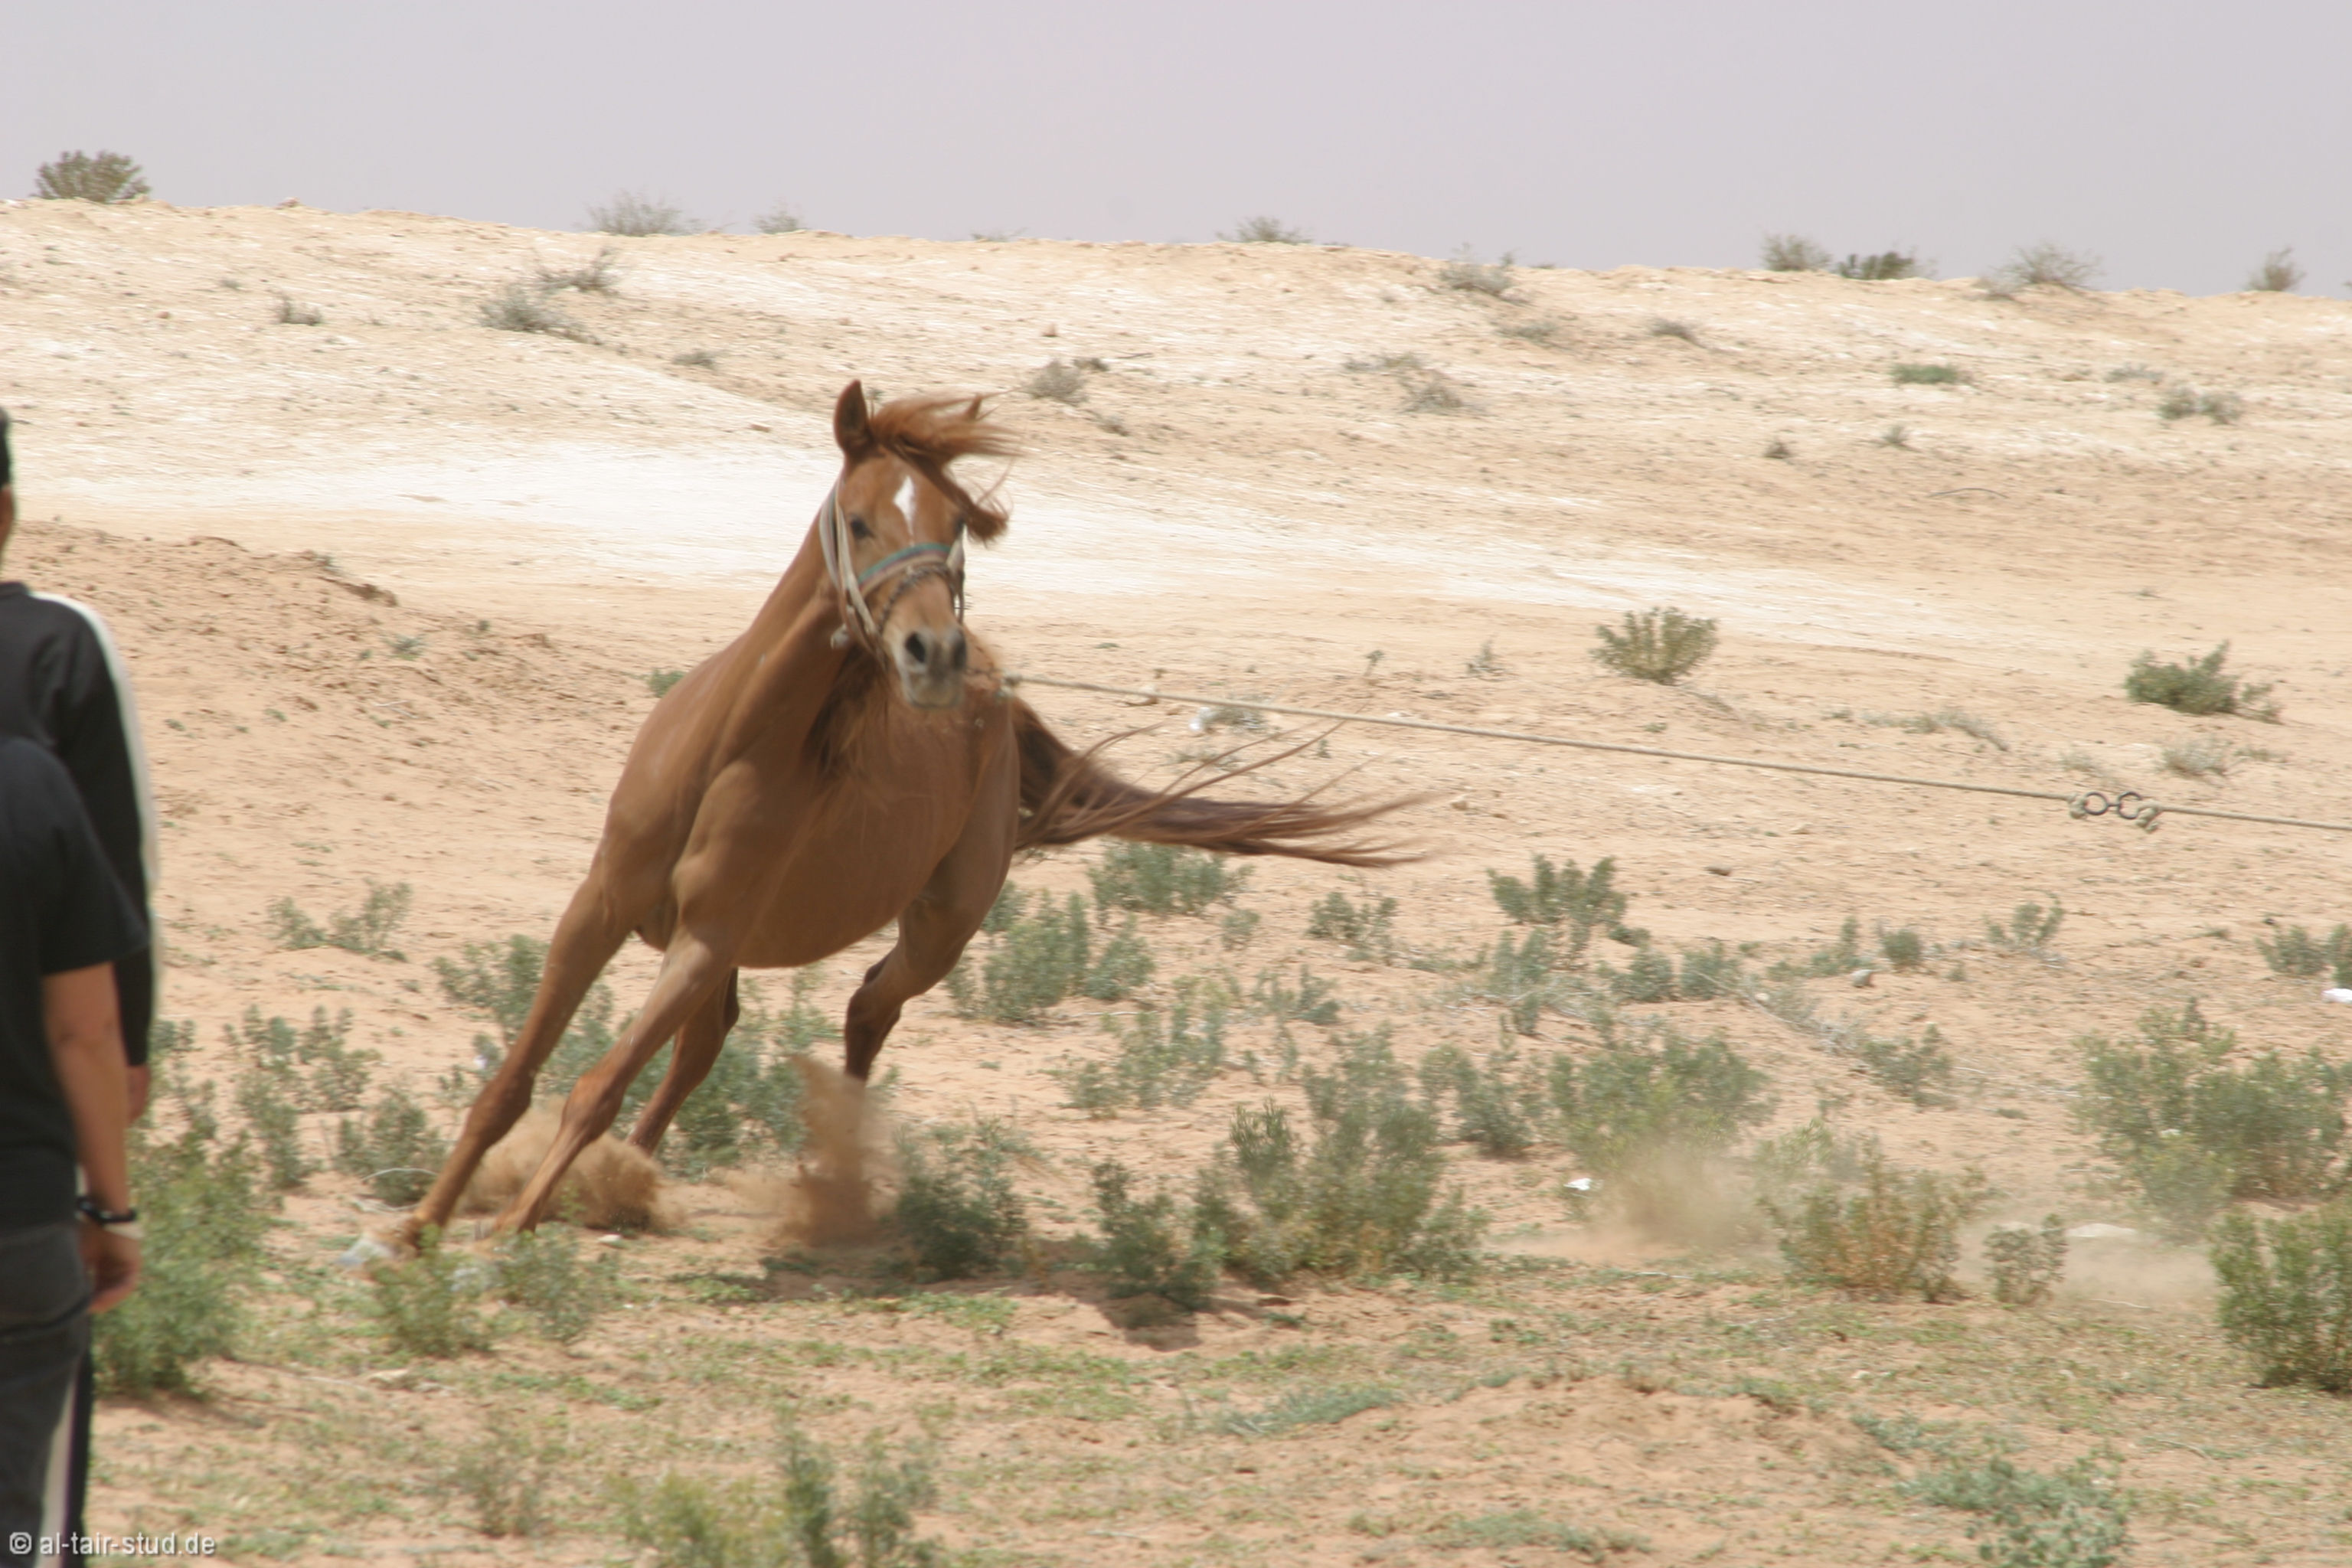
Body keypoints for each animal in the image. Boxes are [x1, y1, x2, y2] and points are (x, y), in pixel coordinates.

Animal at [405, 381, 1408, 1239]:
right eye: (857, 519)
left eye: (957, 526)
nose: (933, 653)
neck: (732, 746)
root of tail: (998, 693)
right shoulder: (605, 905)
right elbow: (515, 1079)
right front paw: (419, 1226)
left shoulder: (700, 939)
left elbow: (596, 1085)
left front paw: (509, 1228)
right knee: (709, 1045)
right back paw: (628, 1179)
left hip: (934, 935)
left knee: (862, 1014)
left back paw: (821, 1188)